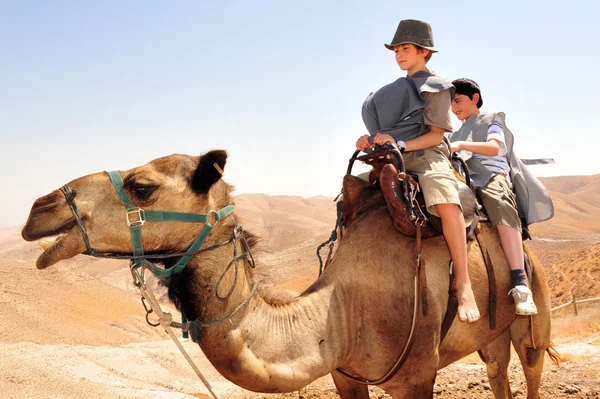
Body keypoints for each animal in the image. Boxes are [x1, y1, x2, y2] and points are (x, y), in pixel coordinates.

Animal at [22, 151, 556, 399]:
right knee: (497, 372)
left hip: (532, 310)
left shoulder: (419, 376)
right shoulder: (345, 375)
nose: (38, 208)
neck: (341, 310)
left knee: (530, 368)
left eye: (142, 186)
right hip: (490, 336)